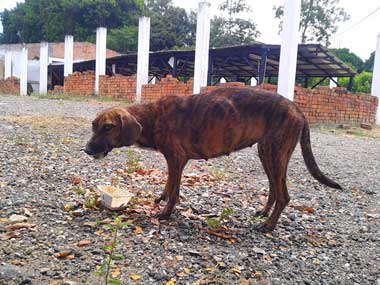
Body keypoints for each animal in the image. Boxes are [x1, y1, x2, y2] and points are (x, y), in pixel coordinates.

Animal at [86, 86, 342, 231]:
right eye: (94, 126)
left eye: (108, 127)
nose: (86, 150)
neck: (150, 117)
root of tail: (297, 108)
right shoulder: (174, 162)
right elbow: (169, 185)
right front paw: (161, 198)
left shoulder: (176, 159)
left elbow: (175, 191)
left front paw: (166, 213)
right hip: (267, 154)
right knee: (273, 189)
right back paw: (264, 212)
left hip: (275, 154)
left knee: (284, 196)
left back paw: (269, 225)